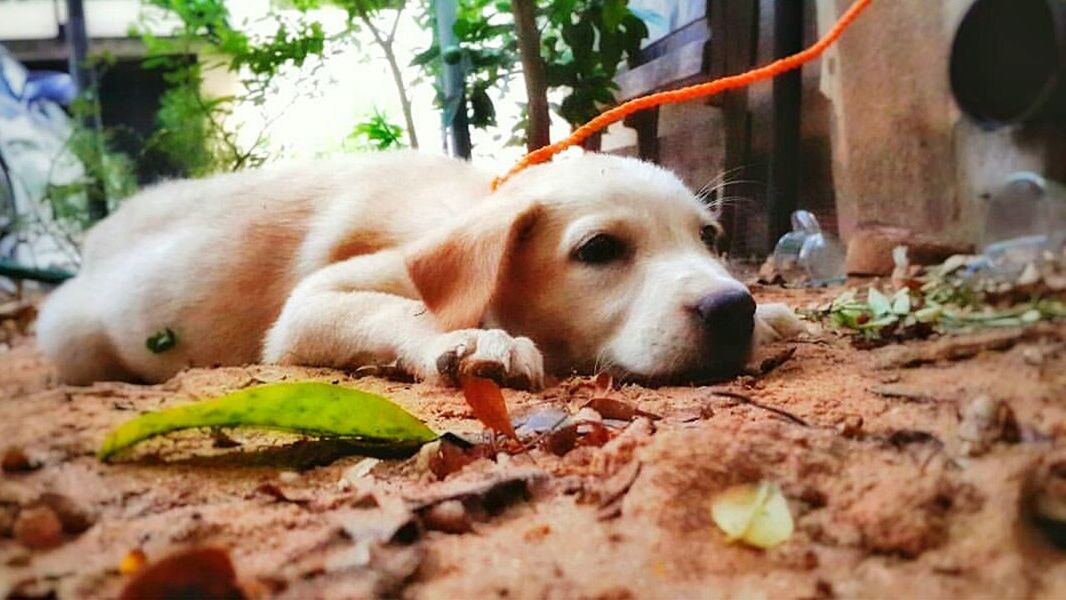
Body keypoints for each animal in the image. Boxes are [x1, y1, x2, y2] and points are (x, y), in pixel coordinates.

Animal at [37, 150, 801, 390]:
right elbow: (401, 307)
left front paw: (775, 313)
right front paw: (470, 340)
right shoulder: (303, 313)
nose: (732, 309)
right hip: (69, 339)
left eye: (709, 237)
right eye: (599, 250)